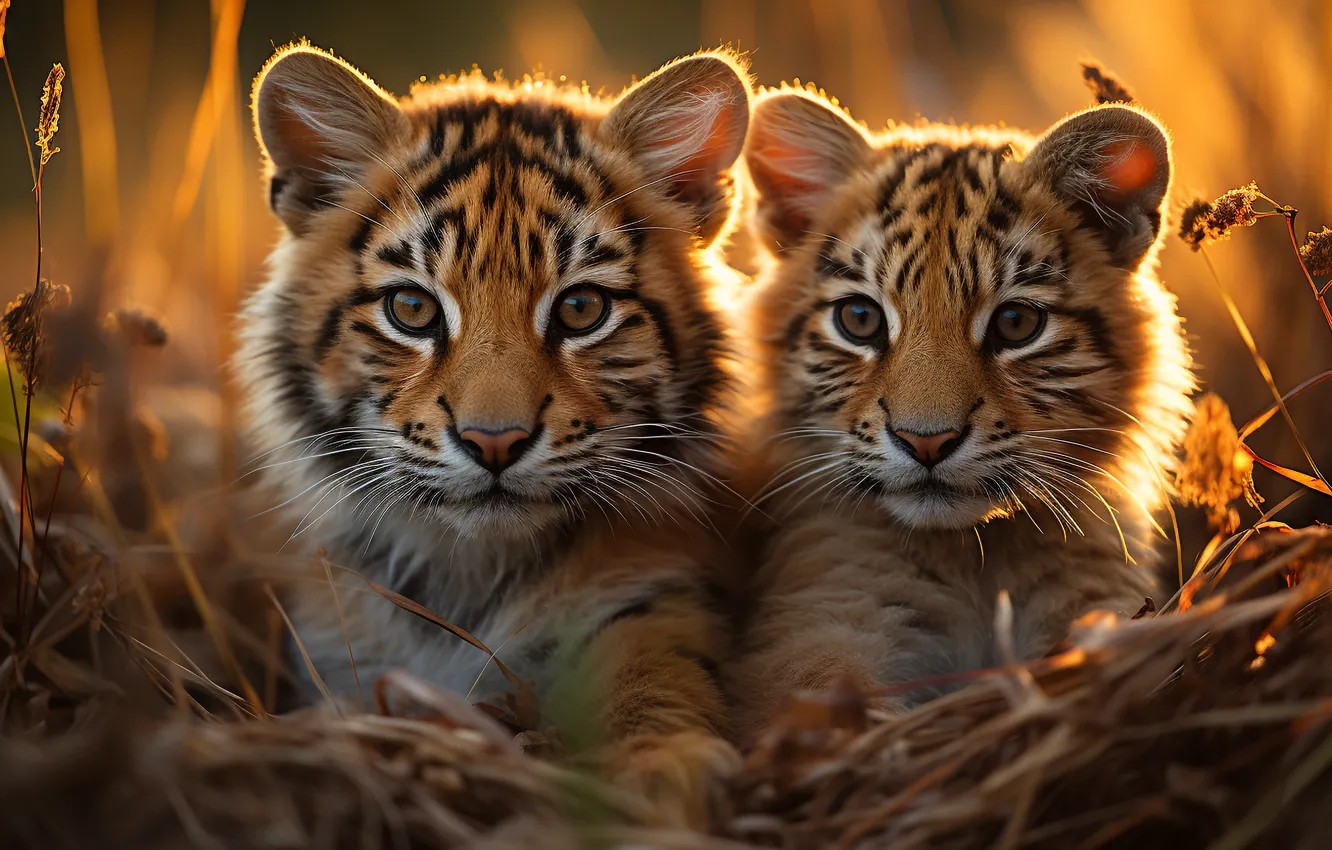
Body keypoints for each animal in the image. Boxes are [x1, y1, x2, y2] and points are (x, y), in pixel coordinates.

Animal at [236, 42, 752, 824]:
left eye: (581, 309)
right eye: (413, 309)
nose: (495, 443)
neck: (470, 569)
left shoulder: (653, 598)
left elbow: (655, 672)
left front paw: (664, 767)